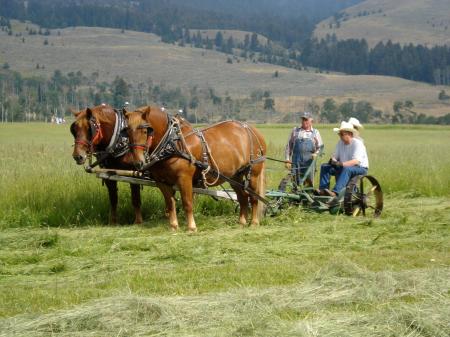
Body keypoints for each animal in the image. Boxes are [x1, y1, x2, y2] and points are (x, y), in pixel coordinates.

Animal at [125, 106, 268, 232]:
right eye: (127, 132)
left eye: (146, 131)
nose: (138, 162)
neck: (172, 143)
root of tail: (252, 130)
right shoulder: (161, 182)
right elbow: (170, 204)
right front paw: (173, 227)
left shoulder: (184, 178)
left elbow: (187, 203)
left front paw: (191, 227)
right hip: (235, 176)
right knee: (242, 197)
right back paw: (242, 223)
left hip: (253, 173)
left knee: (253, 197)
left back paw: (254, 222)